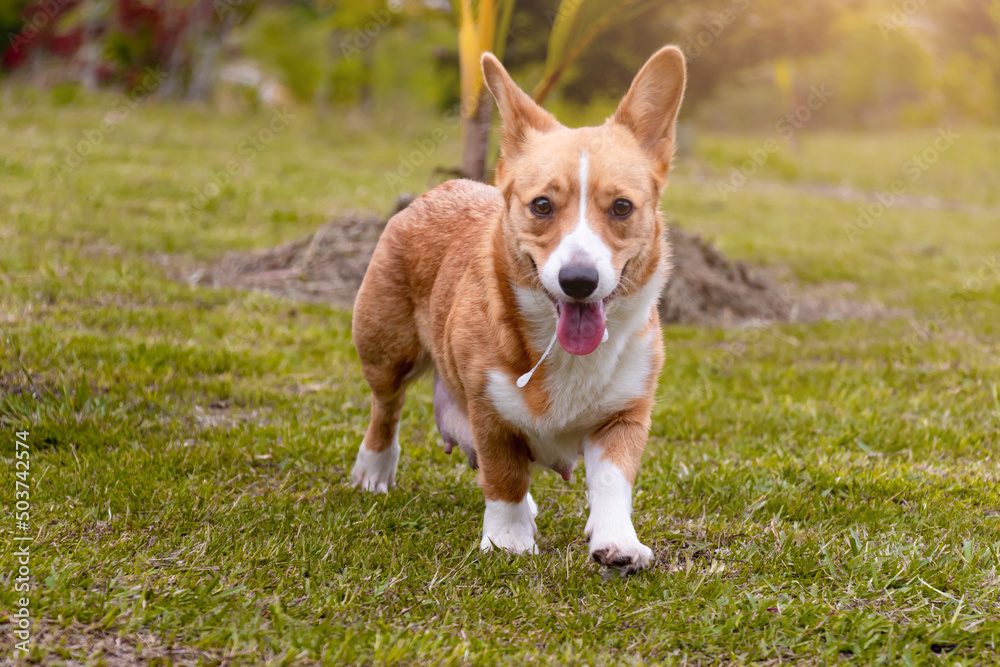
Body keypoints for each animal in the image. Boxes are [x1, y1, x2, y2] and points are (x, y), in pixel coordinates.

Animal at [352, 45, 688, 576]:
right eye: (542, 205)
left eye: (621, 208)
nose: (578, 281)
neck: (560, 348)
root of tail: (443, 188)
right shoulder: (490, 412)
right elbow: (504, 477)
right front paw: (508, 541)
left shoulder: (624, 417)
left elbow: (612, 483)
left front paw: (618, 543)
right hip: (386, 350)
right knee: (387, 408)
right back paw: (374, 469)